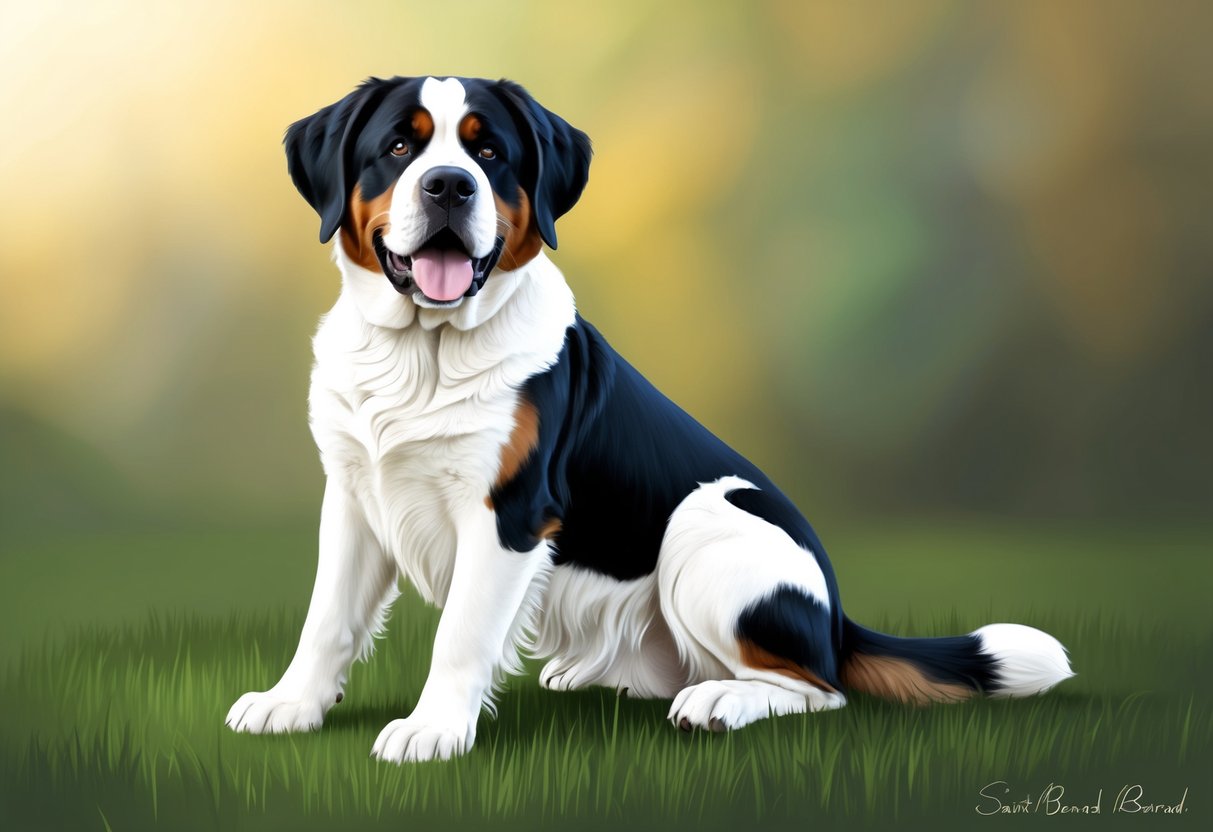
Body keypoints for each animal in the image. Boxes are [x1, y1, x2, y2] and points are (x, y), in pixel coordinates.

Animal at [225, 76, 1072, 761]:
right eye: (398, 146)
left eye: (489, 153)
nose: (447, 187)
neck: (421, 354)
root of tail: (835, 614)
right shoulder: (354, 497)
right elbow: (328, 616)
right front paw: (290, 704)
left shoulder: (507, 513)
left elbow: (459, 633)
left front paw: (431, 731)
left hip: (703, 526)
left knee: (818, 687)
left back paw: (719, 700)